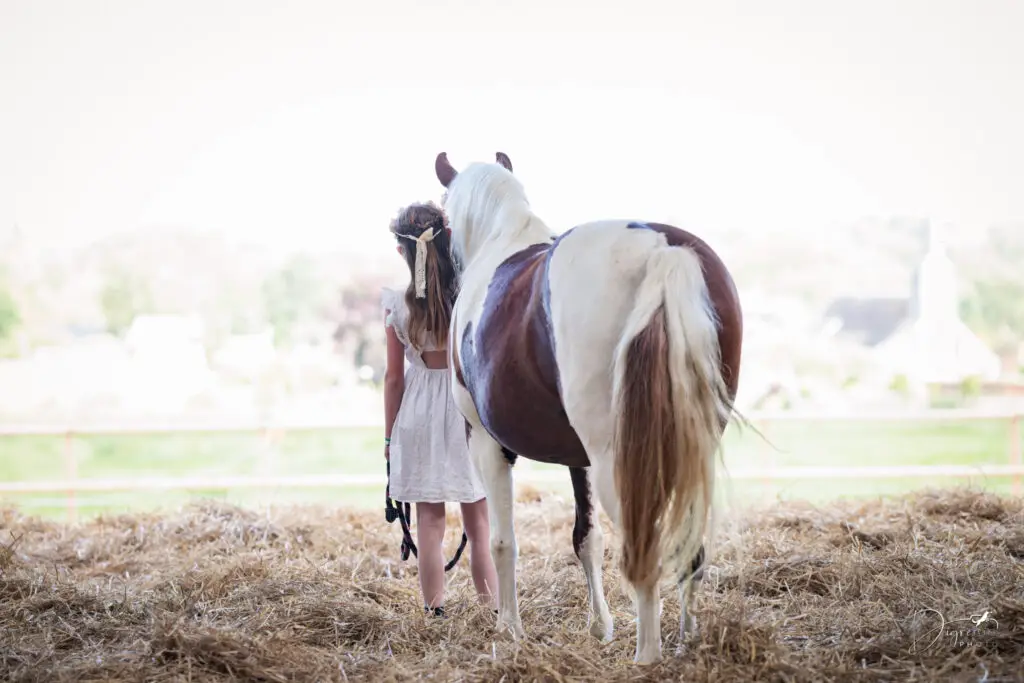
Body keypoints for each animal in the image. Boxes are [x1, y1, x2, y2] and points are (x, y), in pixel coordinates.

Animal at [434, 148, 745, 663]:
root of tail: (661, 248)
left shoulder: (486, 444)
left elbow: (502, 541)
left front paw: (509, 628)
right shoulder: (576, 458)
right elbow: (587, 538)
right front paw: (600, 626)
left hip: (618, 461)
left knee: (645, 552)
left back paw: (647, 656)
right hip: (692, 447)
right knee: (690, 549)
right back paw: (687, 640)